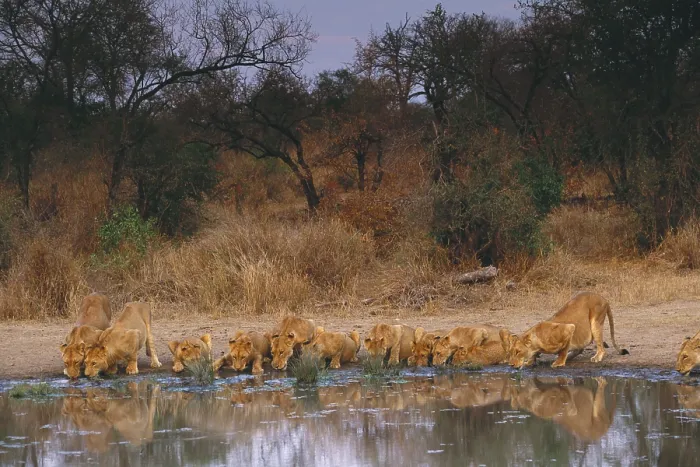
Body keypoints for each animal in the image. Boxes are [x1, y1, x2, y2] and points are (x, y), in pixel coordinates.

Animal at [500, 291, 629, 369]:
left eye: (518, 351)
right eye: (511, 352)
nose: (510, 365)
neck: (537, 342)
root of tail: (603, 298)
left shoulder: (569, 328)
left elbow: (563, 349)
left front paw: (559, 362)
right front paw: (530, 361)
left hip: (596, 322)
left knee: (601, 347)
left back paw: (597, 357)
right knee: (580, 348)